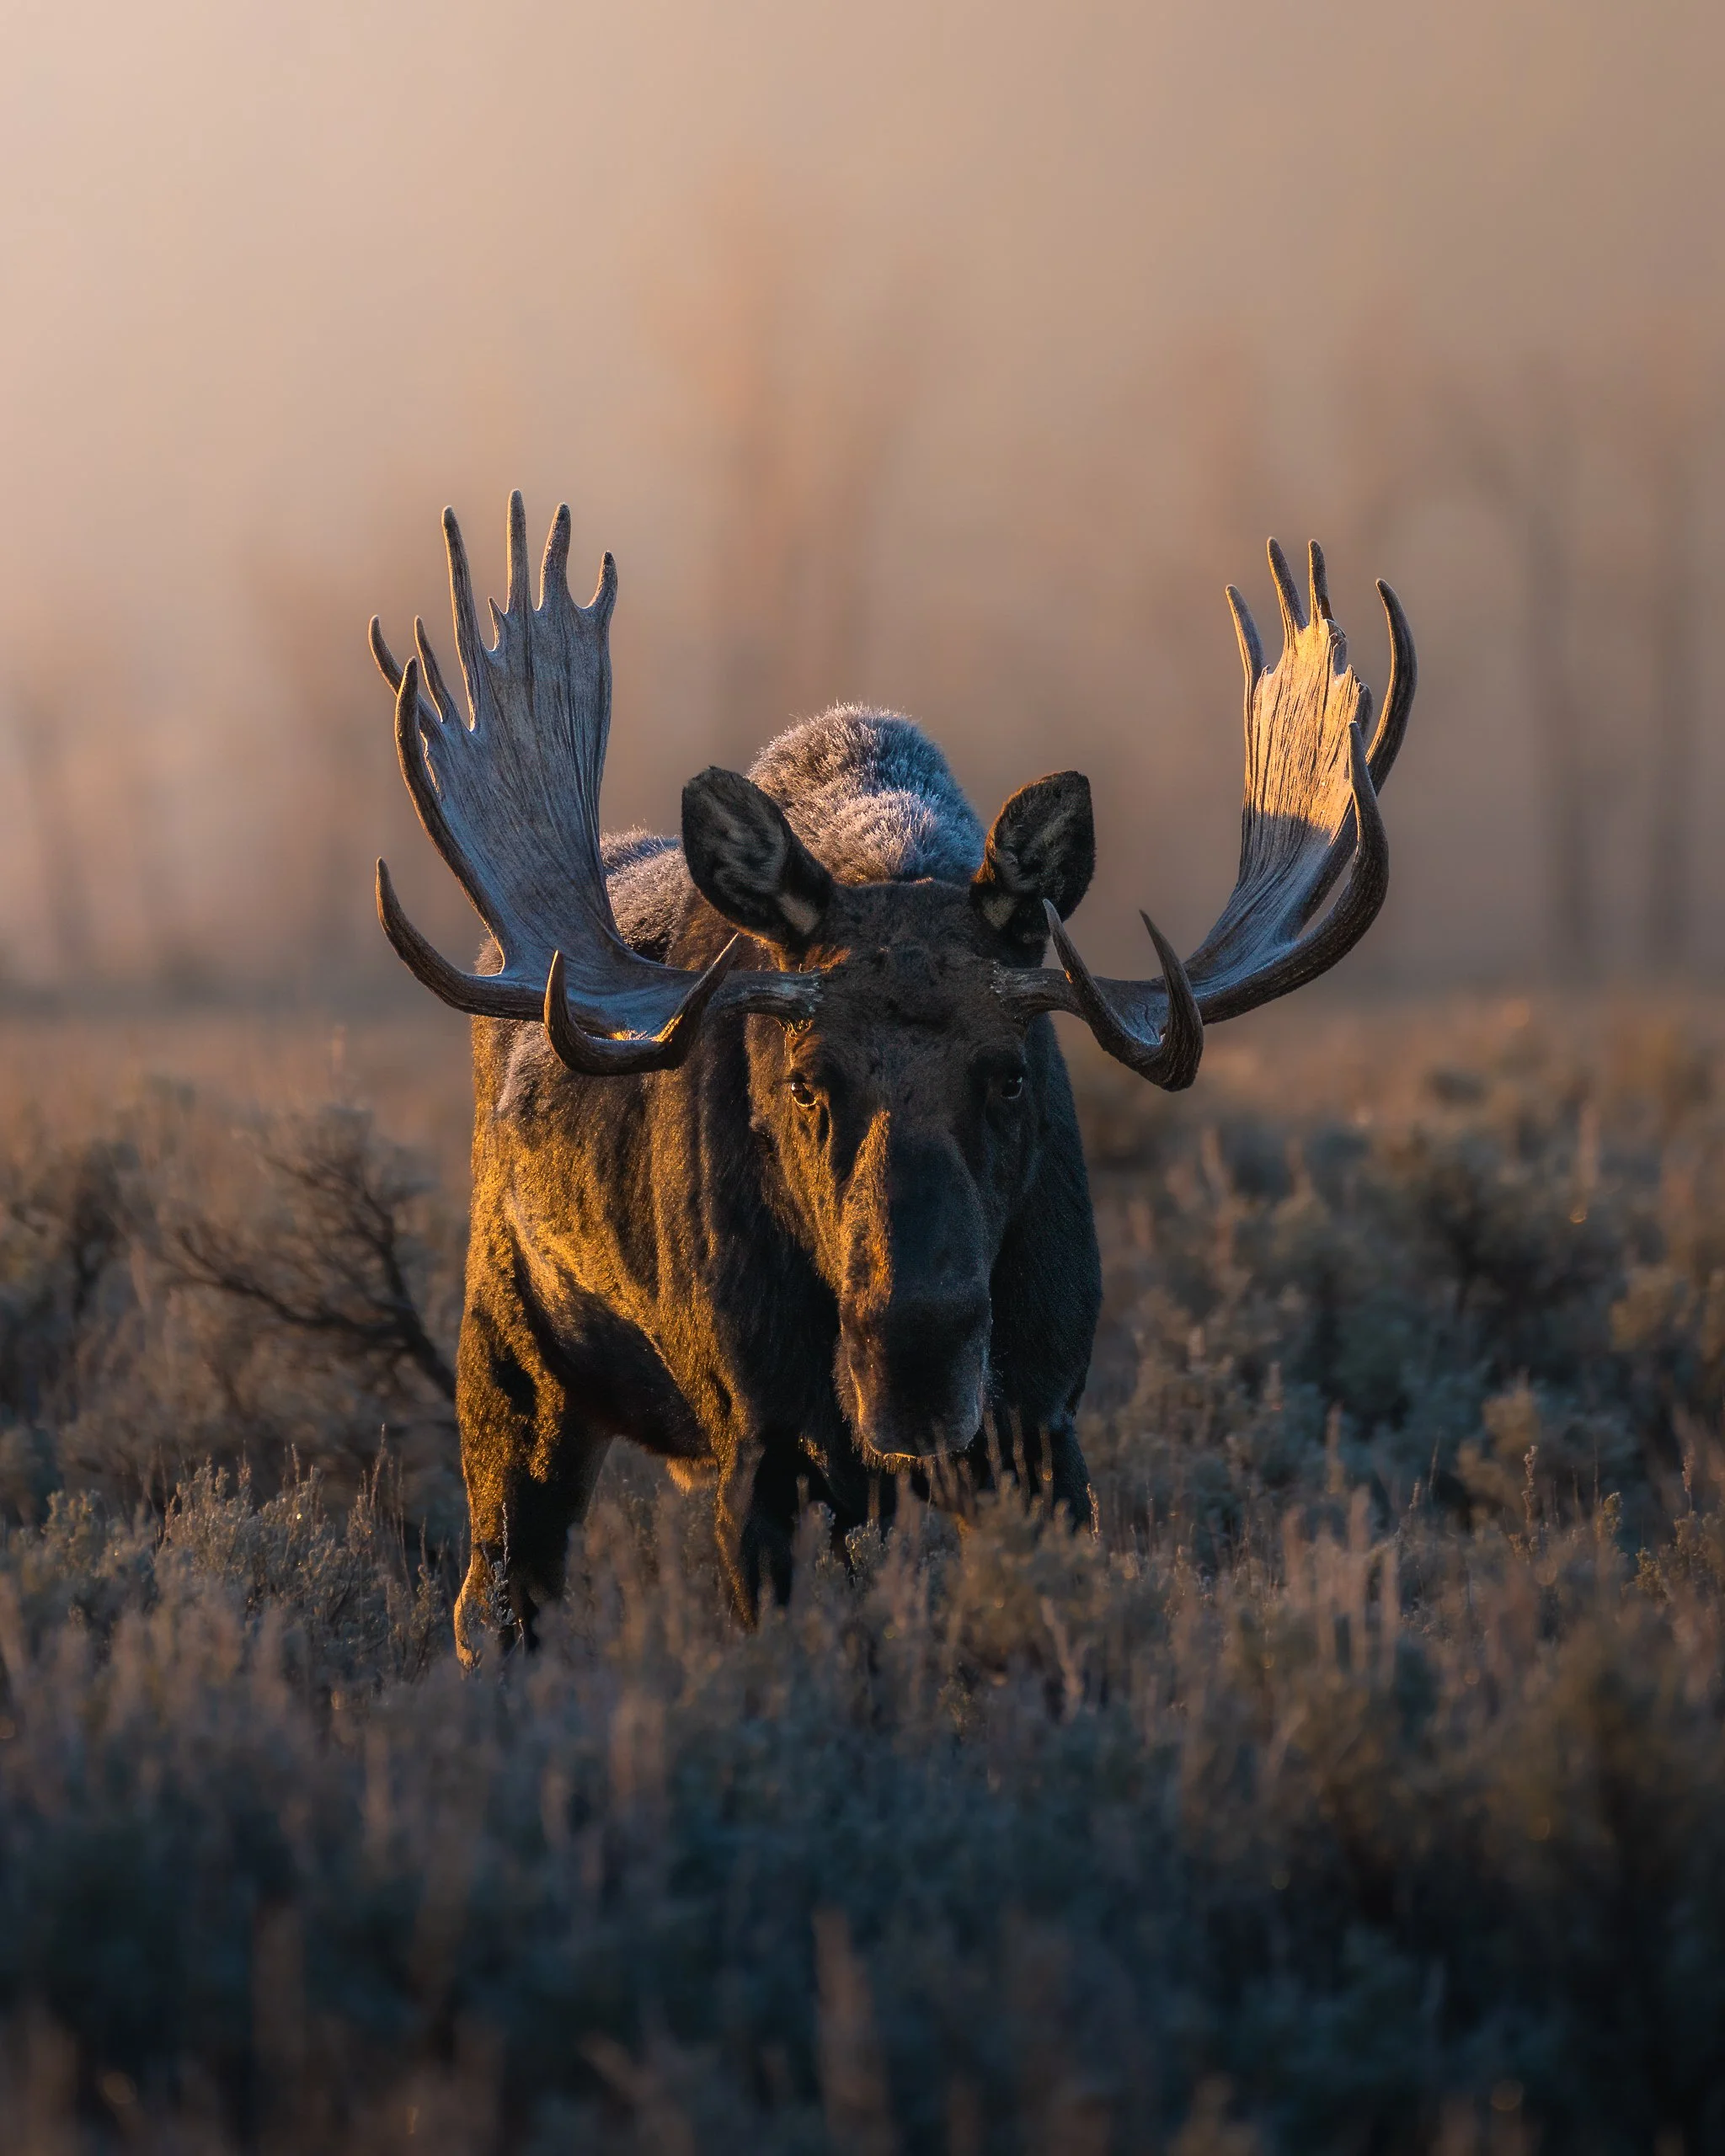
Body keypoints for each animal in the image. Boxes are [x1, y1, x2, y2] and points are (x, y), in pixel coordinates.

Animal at [371, 494, 1414, 1662]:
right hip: (509, 1368)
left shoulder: (1042, 1426)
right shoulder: (761, 1442)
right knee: (496, 1597)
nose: (912, 1362)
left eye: (1008, 1076)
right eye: (804, 1081)